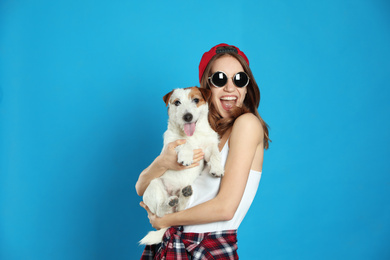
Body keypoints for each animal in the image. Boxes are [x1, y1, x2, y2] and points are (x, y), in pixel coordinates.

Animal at [140, 86, 225, 245]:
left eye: (196, 100)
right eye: (177, 102)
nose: (187, 116)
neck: (194, 135)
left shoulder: (209, 147)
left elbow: (215, 154)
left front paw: (217, 168)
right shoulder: (172, 145)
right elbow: (185, 143)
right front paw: (186, 156)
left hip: (180, 205)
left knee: (180, 210)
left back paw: (184, 194)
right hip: (154, 185)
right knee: (160, 211)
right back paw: (169, 202)